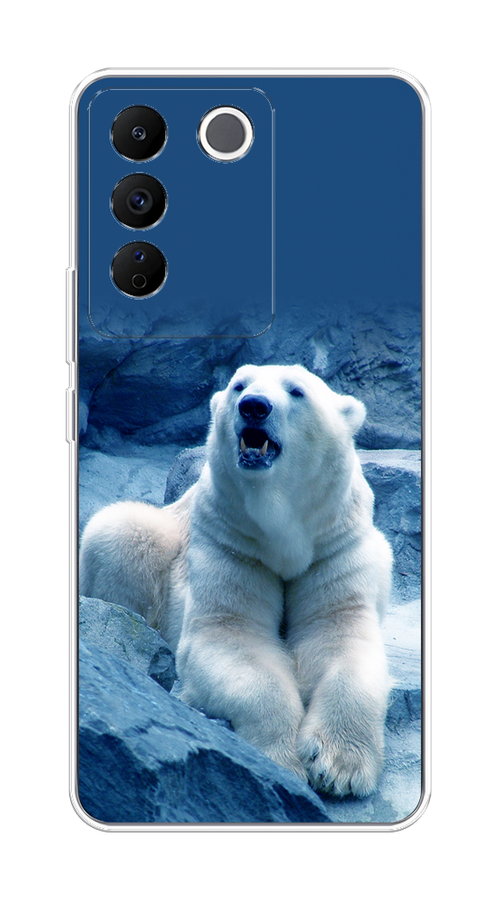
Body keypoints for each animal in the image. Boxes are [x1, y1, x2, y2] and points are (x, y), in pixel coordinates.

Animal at [80, 364, 392, 797]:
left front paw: (338, 766)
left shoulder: (333, 542)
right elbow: (231, 634)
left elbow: (339, 632)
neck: (282, 529)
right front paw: (284, 761)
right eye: (238, 385)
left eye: (297, 391)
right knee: (122, 530)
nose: (254, 406)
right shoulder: (231, 539)